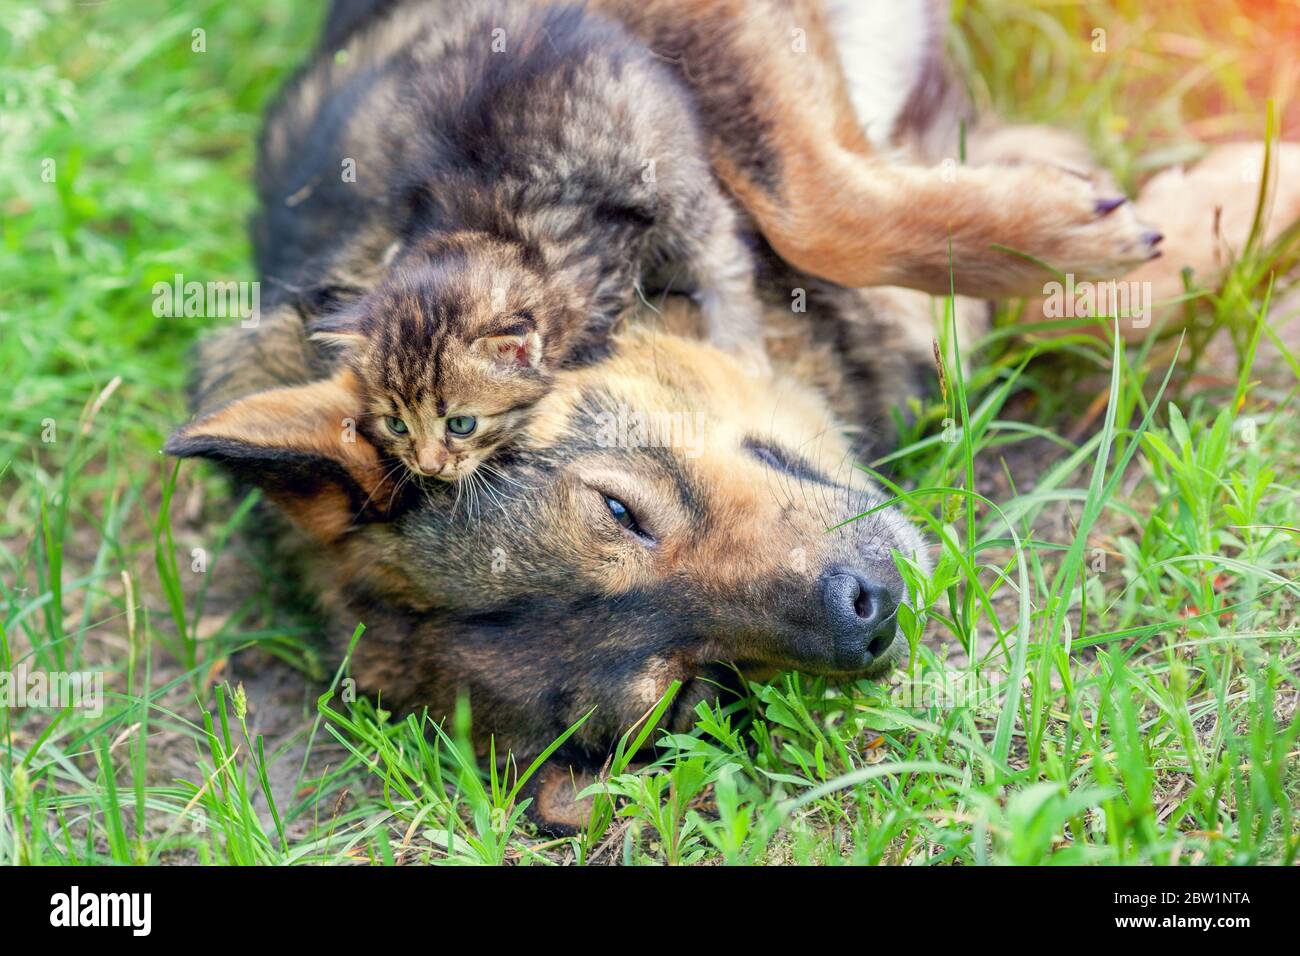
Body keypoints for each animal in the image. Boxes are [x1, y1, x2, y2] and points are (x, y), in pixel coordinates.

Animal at [305, 1, 759, 486]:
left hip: (671, 175)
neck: (496, 232)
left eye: (461, 424)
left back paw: (742, 348)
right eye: (396, 424)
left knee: (724, 251)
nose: (428, 466)